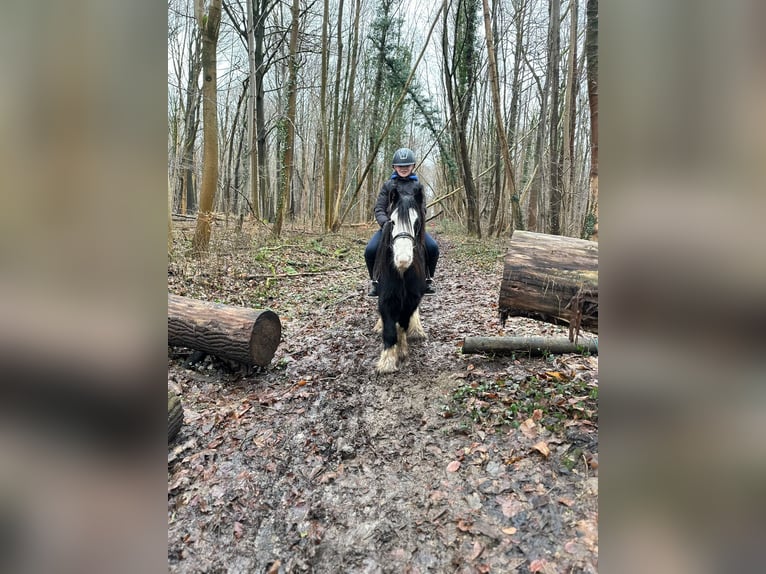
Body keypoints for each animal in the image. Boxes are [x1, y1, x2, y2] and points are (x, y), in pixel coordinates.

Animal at [374, 191, 428, 376]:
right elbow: (390, 329)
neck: (402, 272)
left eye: (417, 222)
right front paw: (387, 362)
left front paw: (402, 351)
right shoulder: (386, 298)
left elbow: (402, 323)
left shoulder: (411, 299)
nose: (403, 260)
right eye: (393, 221)